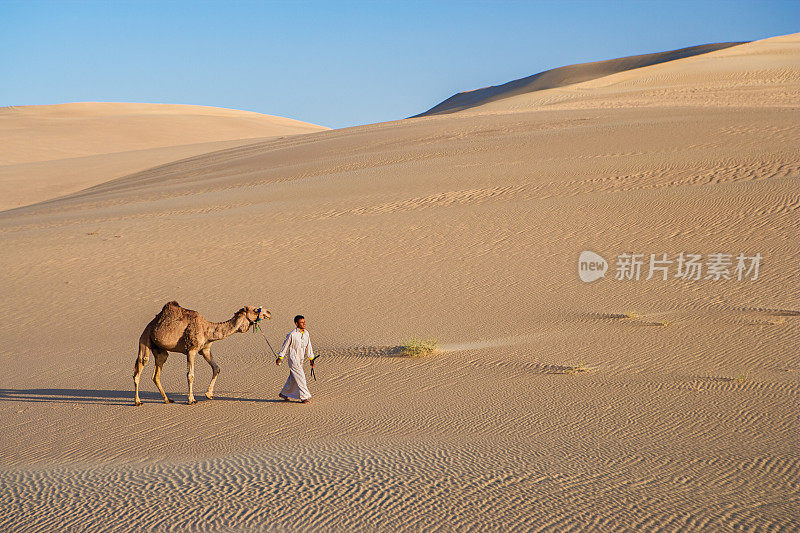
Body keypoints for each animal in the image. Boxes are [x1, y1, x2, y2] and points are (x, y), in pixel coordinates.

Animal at [131, 302, 268, 406]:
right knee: (141, 365)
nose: (268, 313)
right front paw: (191, 400)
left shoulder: (205, 350)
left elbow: (216, 368)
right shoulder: (191, 350)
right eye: (255, 309)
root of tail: (152, 323)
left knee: (157, 372)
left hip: (159, 349)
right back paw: (138, 402)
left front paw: (209, 394)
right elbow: (190, 375)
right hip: (145, 338)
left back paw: (167, 399)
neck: (208, 330)